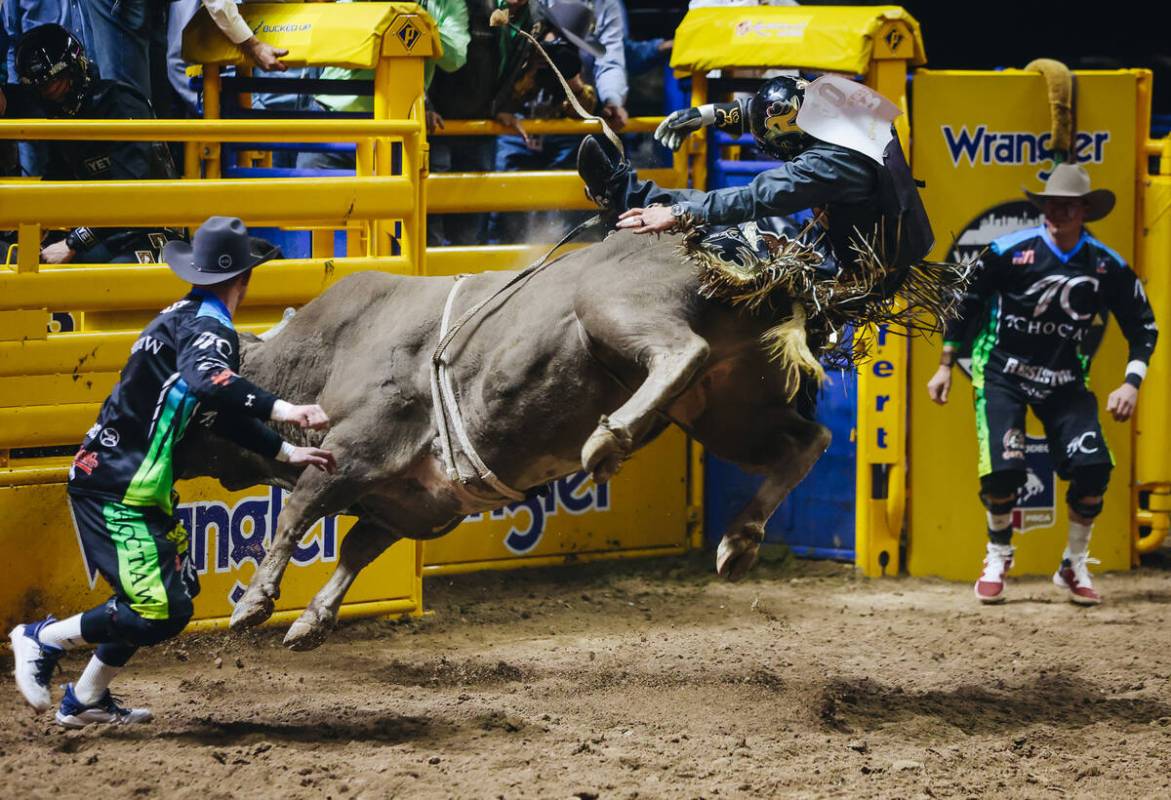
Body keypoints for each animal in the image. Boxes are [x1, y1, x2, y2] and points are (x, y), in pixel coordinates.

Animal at [170, 228, 941, 655]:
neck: (323, 354)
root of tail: (742, 259)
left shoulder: (352, 452)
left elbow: (299, 513)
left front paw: (254, 606)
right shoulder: (410, 505)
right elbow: (357, 548)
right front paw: (312, 621)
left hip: (617, 313)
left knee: (679, 352)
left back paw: (610, 440)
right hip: (728, 402)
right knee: (804, 439)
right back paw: (740, 537)